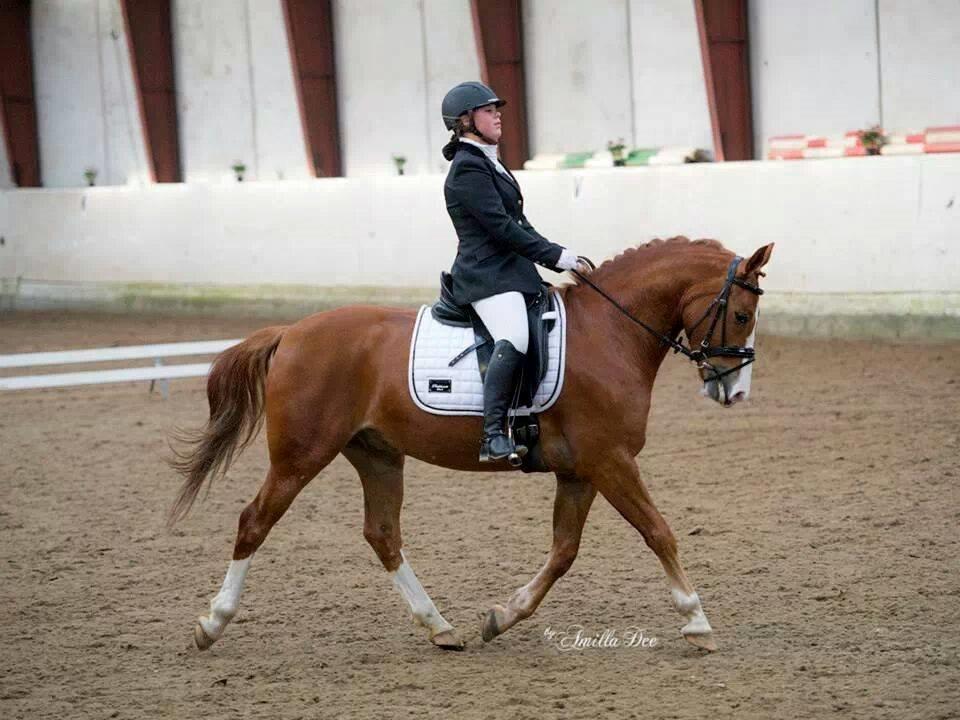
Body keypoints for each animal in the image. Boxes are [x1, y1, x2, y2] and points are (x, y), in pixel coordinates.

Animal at [170, 236, 773, 653]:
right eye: (742, 315)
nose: (736, 391)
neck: (610, 334)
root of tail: (290, 332)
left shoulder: (581, 470)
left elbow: (564, 552)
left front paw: (502, 617)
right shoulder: (611, 461)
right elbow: (659, 532)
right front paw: (697, 621)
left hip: (377, 454)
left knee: (382, 534)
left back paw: (440, 628)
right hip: (301, 456)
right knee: (254, 522)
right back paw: (211, 624)